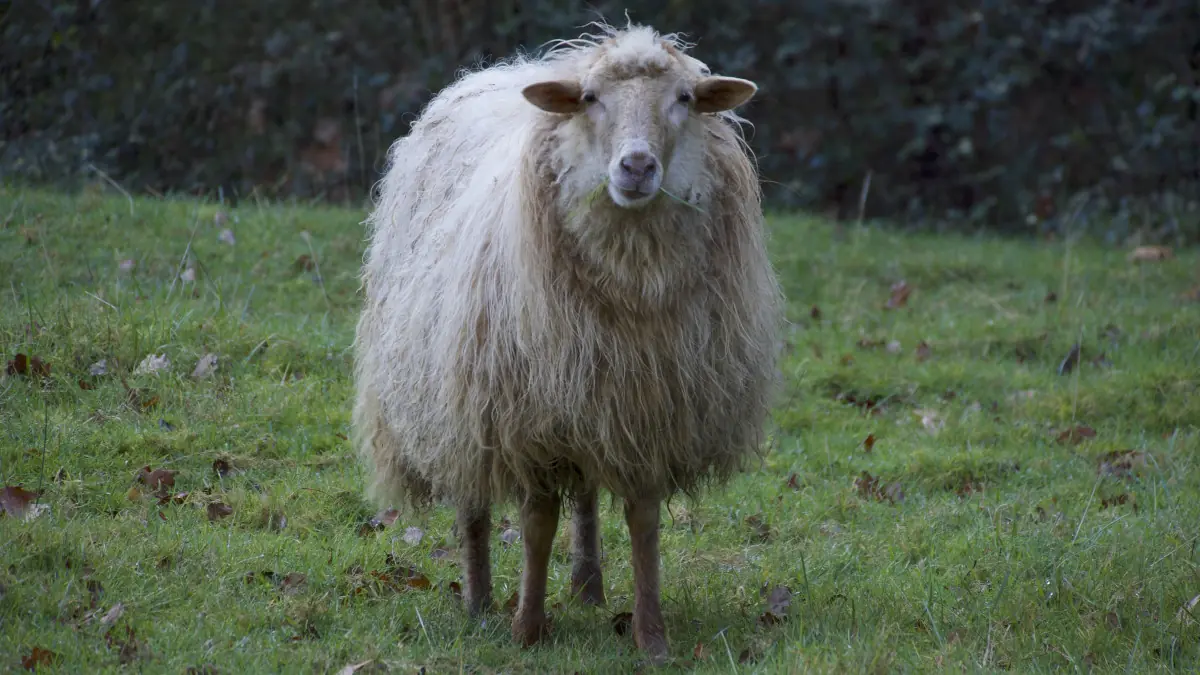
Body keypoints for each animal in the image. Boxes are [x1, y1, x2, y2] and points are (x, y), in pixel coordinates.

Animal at [352, 20, 783, 662]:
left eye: (684, 99)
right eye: (591, 99)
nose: (637, 166)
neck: (631, 284)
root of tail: (507, 70)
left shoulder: (646, 408)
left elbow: (643, 521)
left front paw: (651, 637)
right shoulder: (528, 418)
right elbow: (536, 525)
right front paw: (528, 630)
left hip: (584, 391)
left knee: (583, 497)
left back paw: (587, 584)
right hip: (459, 389)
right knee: (473, 494)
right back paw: (478, 598)